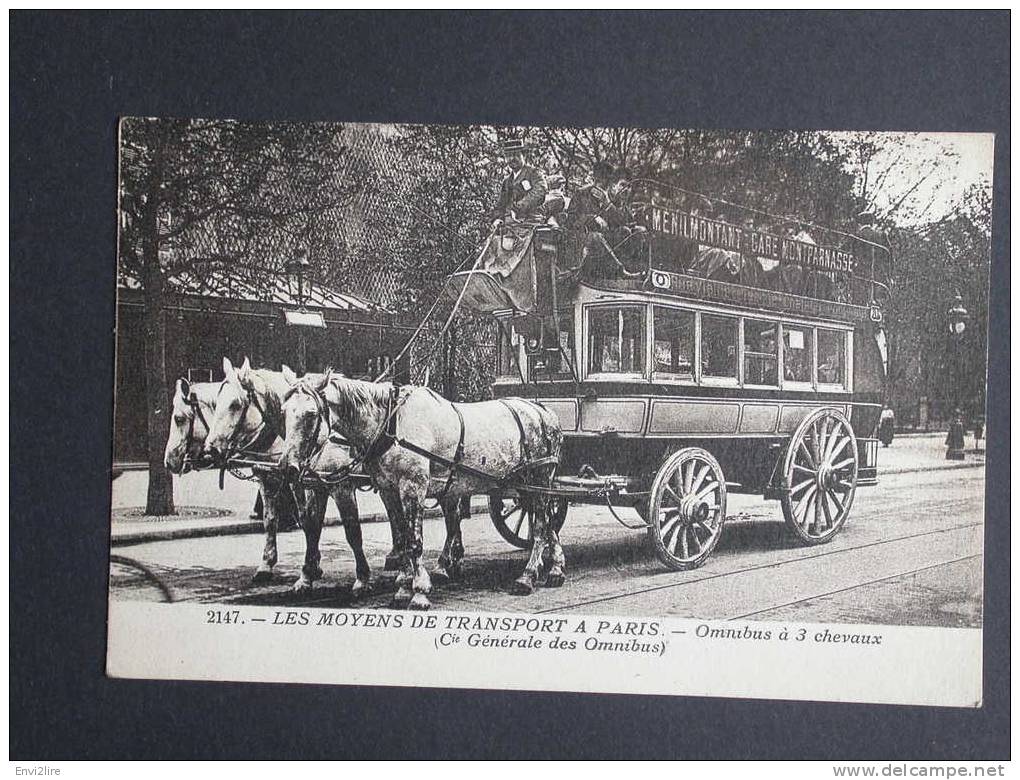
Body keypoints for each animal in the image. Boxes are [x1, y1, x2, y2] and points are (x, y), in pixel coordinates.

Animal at [198, 356, 371, 591]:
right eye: (217, 402)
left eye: (235, 404)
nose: (210, 450)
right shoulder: (292, 482)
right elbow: (285, 521)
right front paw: (283, 568)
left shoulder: (338, 487)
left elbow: (349, 530)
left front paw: (358, 577)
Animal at [281, 369, 567, 611]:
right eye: (283, 411)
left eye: (310, 414)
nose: (288, 467)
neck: (392, 424)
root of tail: (543, 411)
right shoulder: (387, 489)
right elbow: (401, 535)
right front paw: (402, 587)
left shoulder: (411, 487)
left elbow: (413, 541)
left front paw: (418, 591)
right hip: (525, 486)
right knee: (545, 522)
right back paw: (555, 569)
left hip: (540, 478)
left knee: (540, 525)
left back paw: (527, 576)